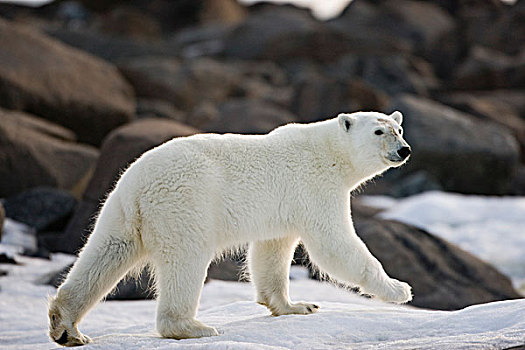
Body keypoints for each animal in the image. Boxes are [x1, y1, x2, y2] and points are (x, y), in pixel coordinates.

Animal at [47, 111, 412, 344]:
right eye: (379, 131)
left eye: (399, 129)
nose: (404, 149)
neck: (329, 152)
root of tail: (139, 187)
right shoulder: (314, 187)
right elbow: (334, 246)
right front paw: (399, 289)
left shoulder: (281, 209)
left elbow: (271, 253)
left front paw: (296, 306)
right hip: (185, 204)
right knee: (186, 260)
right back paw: (194, 327)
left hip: (120, 212)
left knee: (104, 254)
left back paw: (67, 328)